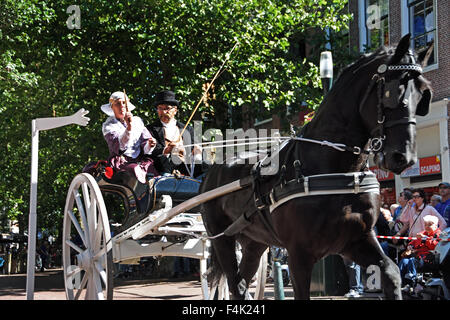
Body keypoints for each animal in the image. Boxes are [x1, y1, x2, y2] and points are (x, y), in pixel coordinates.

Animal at [200, 35, 432, 300]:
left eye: (423, 95)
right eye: (393, 91)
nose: (403, 156)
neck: (336, 168)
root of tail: (211, 173)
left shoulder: (356, 240)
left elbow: (392, 273)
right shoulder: (299, 254)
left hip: (254, 243)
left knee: (240, 281)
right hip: (221, 240)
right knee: (234, 282)